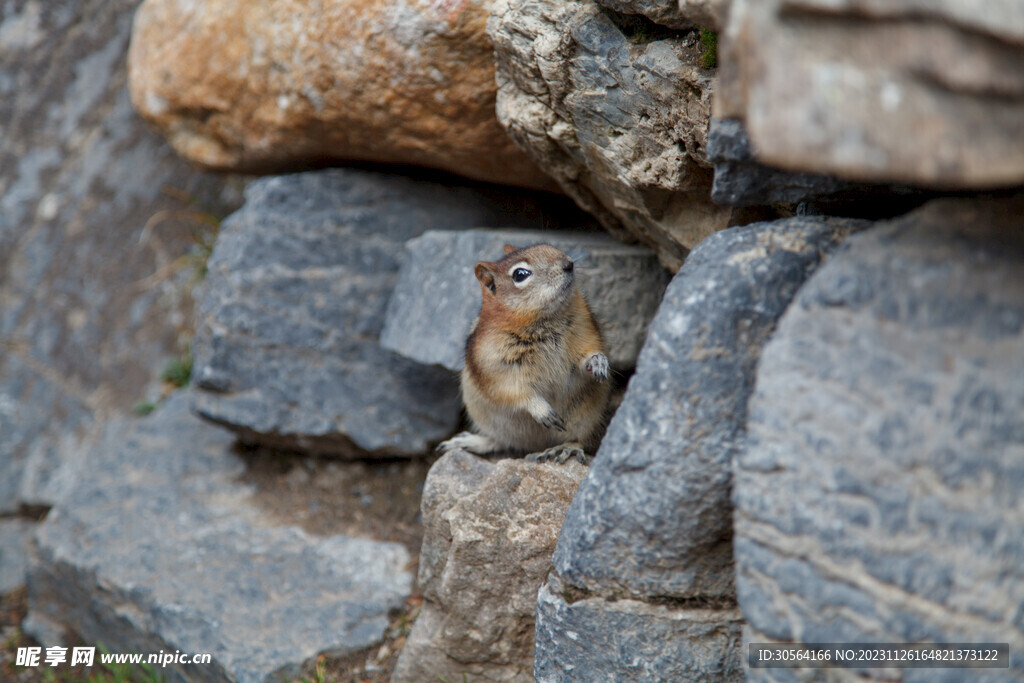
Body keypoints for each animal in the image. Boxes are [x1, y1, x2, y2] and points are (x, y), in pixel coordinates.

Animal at [438, 242, 610, 462]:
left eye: (549, 246)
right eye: (520, 274)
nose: (569, 264)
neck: (544, 321)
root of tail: (535, 445)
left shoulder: (585, 331)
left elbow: (587, 355)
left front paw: (598, 361)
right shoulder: (497, 365)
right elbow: (515, 390)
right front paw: (541, 410)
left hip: (586, 418)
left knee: (579, 439)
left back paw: (565, 448)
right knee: (500, 441)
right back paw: (471, 442)